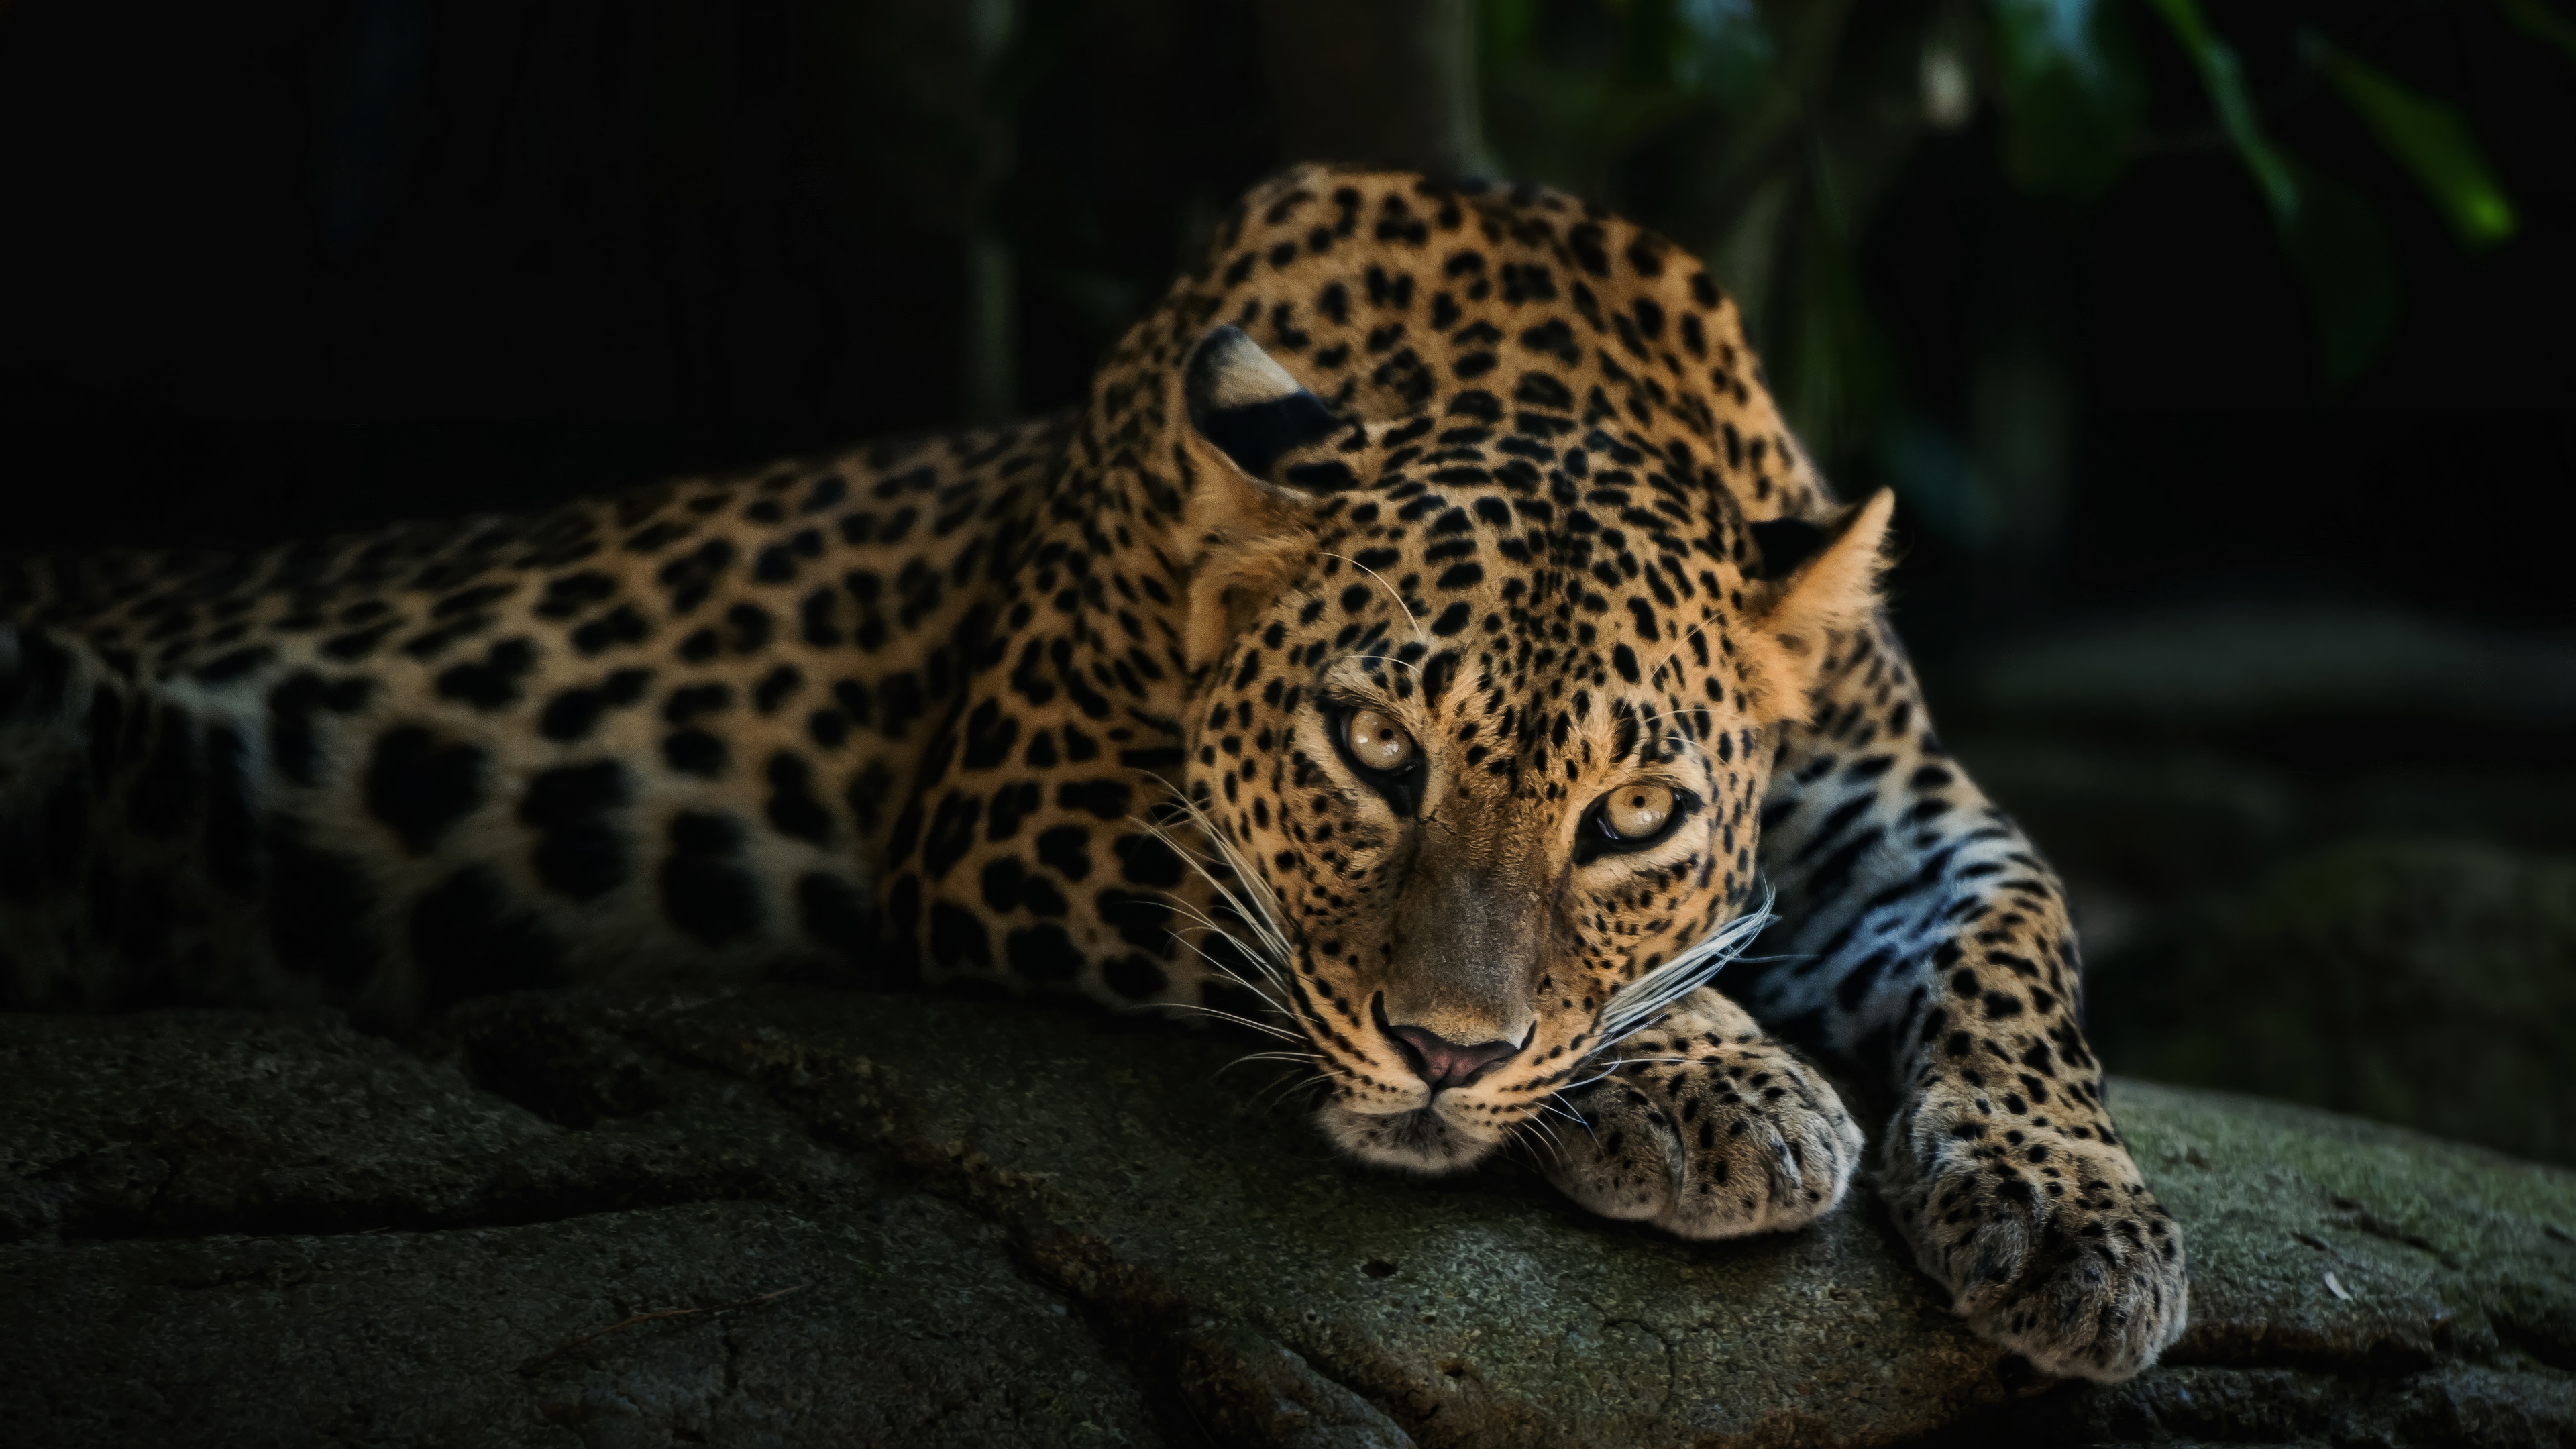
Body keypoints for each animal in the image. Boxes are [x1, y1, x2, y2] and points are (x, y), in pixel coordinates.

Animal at [0, 163, 2185, 1382]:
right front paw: (1721, 1084)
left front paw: (2075, 1220)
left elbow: (2024, 941)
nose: (1448, 1060)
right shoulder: (1014, 802)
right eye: (1369, 749)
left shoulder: (1902, 807)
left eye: (1632, 814)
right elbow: (1280, 924)